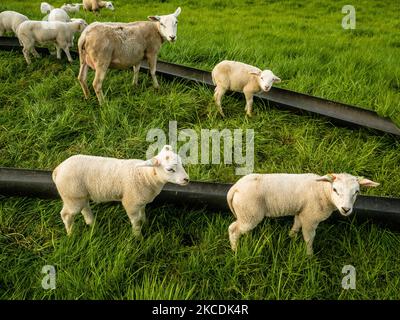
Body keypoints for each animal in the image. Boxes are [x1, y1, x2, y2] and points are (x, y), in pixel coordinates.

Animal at [52, 146, 189, 236]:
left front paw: (146, 224)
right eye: (170, 169)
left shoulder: (141, 202)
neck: (146, 175)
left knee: (85, 208)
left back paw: (92, 224)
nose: (186, 179)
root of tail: (58, 169)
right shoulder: (131, 203)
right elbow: (136, 221)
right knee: (66, 214)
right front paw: (138, 237)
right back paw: (71, 234)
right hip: (72, 196)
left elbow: (142, 214)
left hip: (80, 195)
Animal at [227, 172, 380, 255]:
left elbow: (296, 224)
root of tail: (235, 188)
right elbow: (309, 238)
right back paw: (235, 250)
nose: (346, 209)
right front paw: (309, 255)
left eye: (357, 192)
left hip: (246, 214)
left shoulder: (303, 212)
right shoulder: (310, 218)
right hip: (250, 213)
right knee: (233, 229)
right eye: (335, 189)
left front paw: (291, 236)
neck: (322, 191)